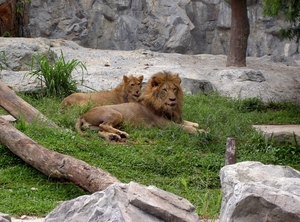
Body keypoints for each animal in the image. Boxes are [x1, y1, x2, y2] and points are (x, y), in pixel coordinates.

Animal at [75, 71, 203, 141]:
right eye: (165, 90)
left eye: (174, 89)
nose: (173, 99)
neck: (164, 106)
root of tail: (83, 114)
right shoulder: (165, 124)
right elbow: (186, 128)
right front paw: (201, 132)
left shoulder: (175, 119)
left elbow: (192, 123)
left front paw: (199, 127)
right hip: (116, 114)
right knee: (104, 125)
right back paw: (122, 134)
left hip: (95, 126)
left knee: (100, 131)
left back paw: (114, 136)